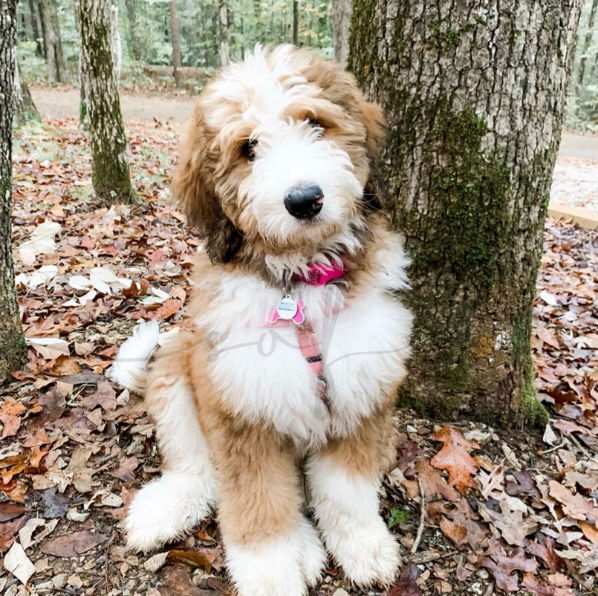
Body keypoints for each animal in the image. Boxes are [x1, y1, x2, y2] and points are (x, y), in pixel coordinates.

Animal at [111, 45, 412, 596]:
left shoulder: (362, 395)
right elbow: (257, 506)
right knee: (197, 469)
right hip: (176, 364)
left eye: (315, 124)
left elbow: (347, 490)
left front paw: (362, 544)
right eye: (248, 148)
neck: (300, 285)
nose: (304, 199)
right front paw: (272, 573)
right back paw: (168, 509)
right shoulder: (241, 409)